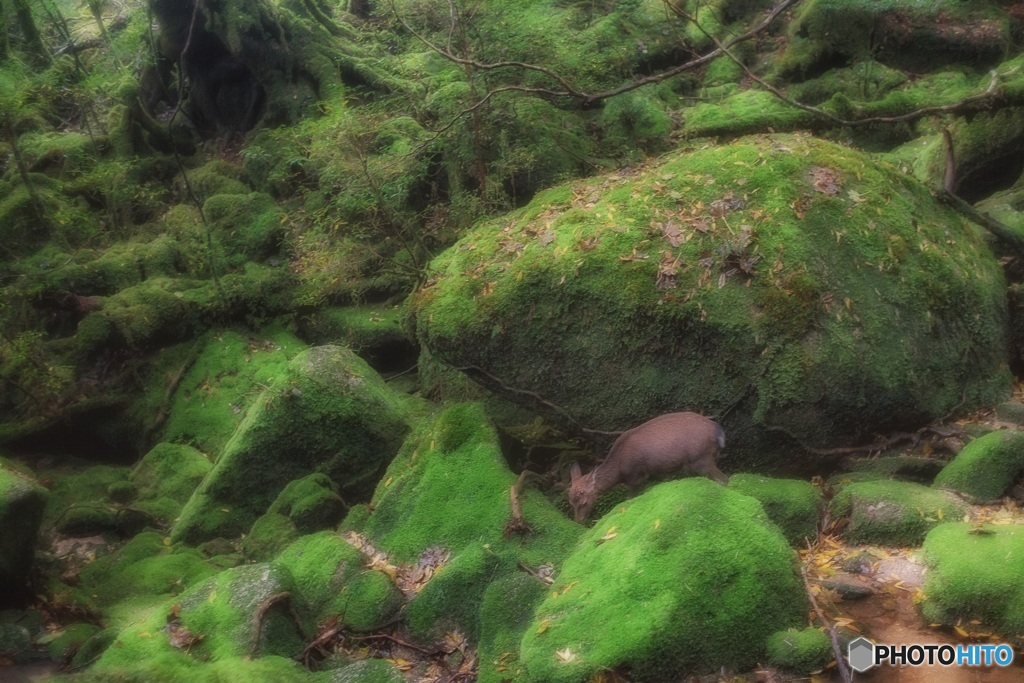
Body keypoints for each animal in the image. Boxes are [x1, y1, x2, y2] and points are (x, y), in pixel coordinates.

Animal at [568, 412, 728, 523]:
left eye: (583, 501)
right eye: (570, 502)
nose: (578, 521)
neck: (619, 472)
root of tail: (719, 432)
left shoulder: (637, 475)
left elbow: (629, 499)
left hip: (701, 458)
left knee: (724, 479)